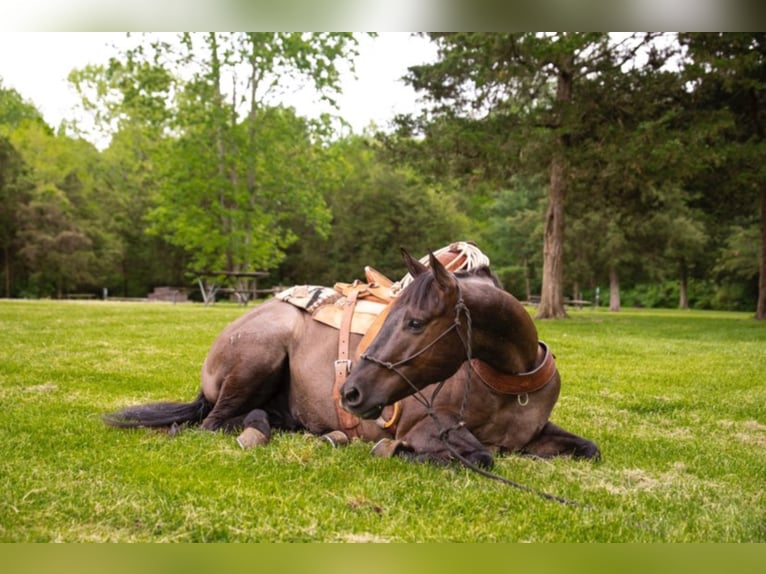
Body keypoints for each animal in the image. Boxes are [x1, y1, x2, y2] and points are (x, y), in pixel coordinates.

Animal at [340, 250, 600, 466]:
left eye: (415, 323)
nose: (350, 392)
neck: (513, 387)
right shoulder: (422, 424)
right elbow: (481, 456)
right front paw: (392, 448)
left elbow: (591, 449)